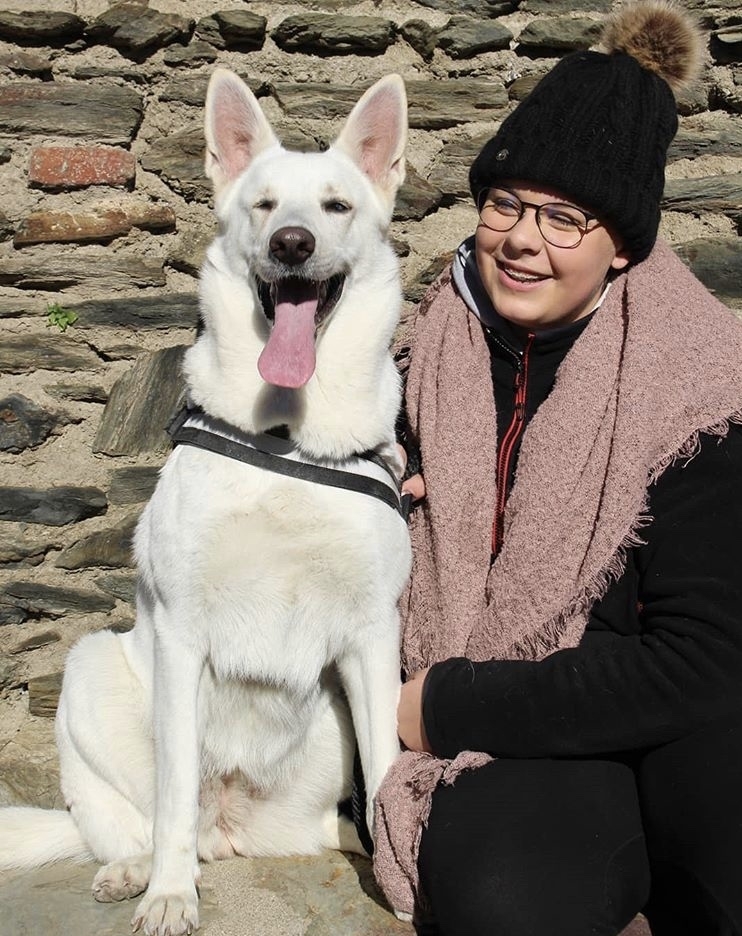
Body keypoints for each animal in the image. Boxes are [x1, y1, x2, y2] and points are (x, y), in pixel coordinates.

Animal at [0, 69, 411, 936]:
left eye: (335, 206)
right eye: (264, 205)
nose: (292, 244)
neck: (287, 440)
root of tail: (234, 829)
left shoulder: (371, 637)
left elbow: (390, 766)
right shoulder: (183, 632)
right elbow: (174, 789)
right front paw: (168, 893)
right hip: (93, 670)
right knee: (131, 819)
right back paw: (136, 868)